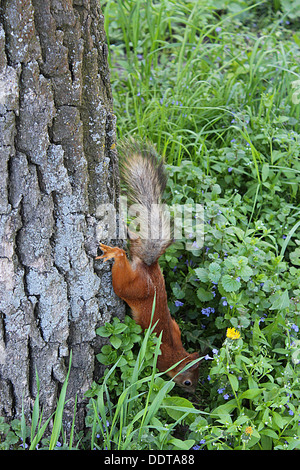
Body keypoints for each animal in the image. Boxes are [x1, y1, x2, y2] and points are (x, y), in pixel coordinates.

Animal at [96, 140, 199, 392]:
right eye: (188, 381)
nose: (193, 392)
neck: (176, 354)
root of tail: (148, 268)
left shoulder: (175, 329)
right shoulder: (158, 357)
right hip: (133, 288)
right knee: (122, 269)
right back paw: (114, 252)